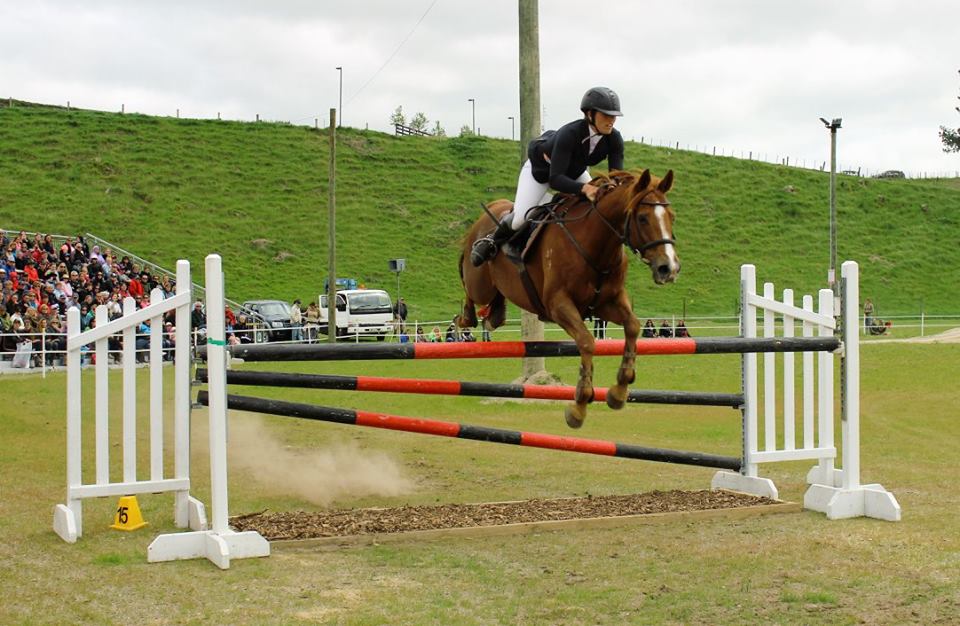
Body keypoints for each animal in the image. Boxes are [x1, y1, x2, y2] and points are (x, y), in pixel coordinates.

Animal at [454, 168, 680, 426]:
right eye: (642, 218)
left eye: (672, 216)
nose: (668, 268)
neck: (596, 242)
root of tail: (491, 208)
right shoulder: (558, 305)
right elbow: (587, 341)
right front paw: (580, 405)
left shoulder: (606, 303)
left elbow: (632, 326)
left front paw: (619, 391)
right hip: (479, 283)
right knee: (470, 296)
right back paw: (465, 317)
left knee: (495, 307)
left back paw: (494, 316)